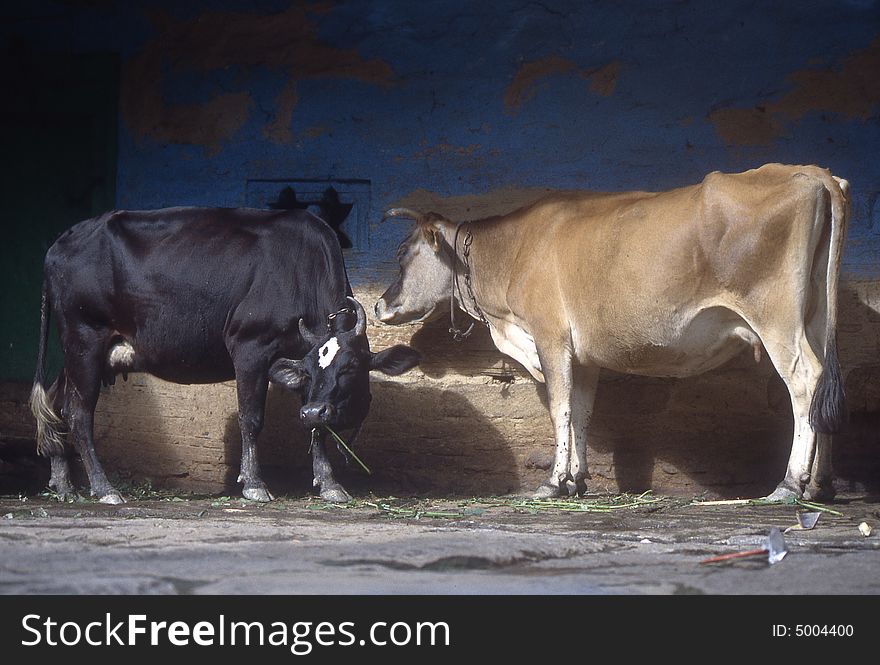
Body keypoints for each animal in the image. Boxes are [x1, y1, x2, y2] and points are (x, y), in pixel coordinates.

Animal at [29, 208, 422, 504]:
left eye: (350, 367)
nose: (313, 410)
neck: (301, 268)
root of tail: (60, 242)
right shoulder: (250, 347)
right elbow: (251, 418)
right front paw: (254, 484)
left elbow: (318, 430)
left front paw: (329, 484)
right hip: (85, 337)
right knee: (80, 413)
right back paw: (104, 488)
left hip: (83, 351)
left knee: (55, 402)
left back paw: (63, 483)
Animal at [374, 163, 848, 500]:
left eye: (401, 251)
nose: (378, 304)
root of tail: (811, 173)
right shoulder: (582, 354)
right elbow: (581, 410)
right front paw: (577, 480)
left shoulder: (549, 336)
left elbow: (559, 408)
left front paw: (553, 482)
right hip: (814, 314)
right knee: (824, 381)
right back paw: (821, 484)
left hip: (776, 316)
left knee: (805, 381)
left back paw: (790, 483)